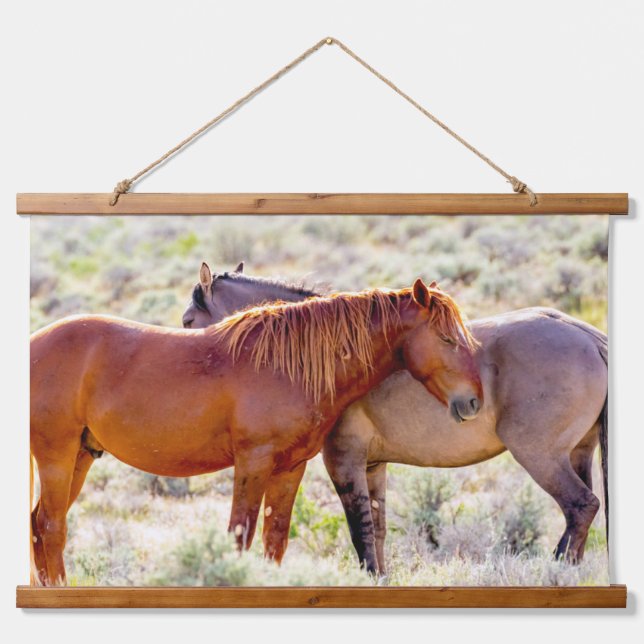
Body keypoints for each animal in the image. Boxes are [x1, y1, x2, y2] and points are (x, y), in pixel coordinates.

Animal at [30, 278, 482, 585]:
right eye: (446, 338)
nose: (474, 401)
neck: (289, 365)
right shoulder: (252, 463)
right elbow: (239, 536)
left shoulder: (290, 468)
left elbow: (274, 540)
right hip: (56, 457)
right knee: (51, 527)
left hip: (81, 457)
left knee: (40, 525)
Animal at [182, 263, 608, 574]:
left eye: (187, 322)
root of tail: (589, 336)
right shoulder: (374, 466)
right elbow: (379, 532)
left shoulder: (344, 461)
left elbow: (360, 533)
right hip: (578, 454)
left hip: (540, 456)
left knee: (581, 507)